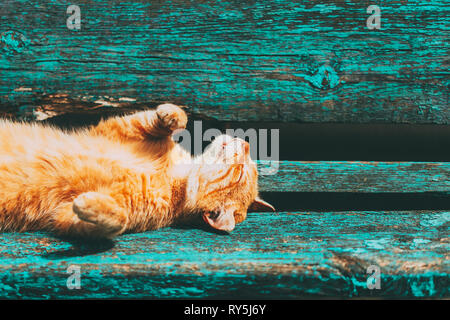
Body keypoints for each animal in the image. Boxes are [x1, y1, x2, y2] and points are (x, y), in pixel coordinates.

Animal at [0, 104, 274, 239]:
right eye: (248, 167)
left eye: (241, 172)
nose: (247, 144)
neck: (173, 175)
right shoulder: (115, 129)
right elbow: (172, 118)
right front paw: (170, 114)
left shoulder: (64, 217)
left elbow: (116, 221)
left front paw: (91, 205)